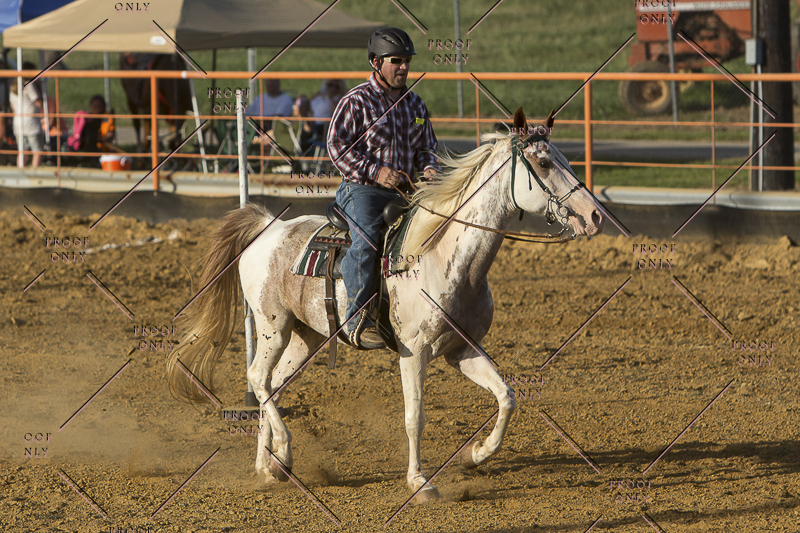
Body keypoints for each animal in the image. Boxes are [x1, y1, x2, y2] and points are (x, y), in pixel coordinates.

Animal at [166, 108, 605, 501]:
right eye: (544, 162)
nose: (594, 215)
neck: (439, 254)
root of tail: (267, 228)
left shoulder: (461, 349)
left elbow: (506, 396)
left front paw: (477, 453)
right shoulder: (414, 352)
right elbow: (415, 418)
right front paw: (420, 483)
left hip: (306, 337)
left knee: (271, 384)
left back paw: (266, 466)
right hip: (272, 325)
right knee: (258, 378)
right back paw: (284, 455)